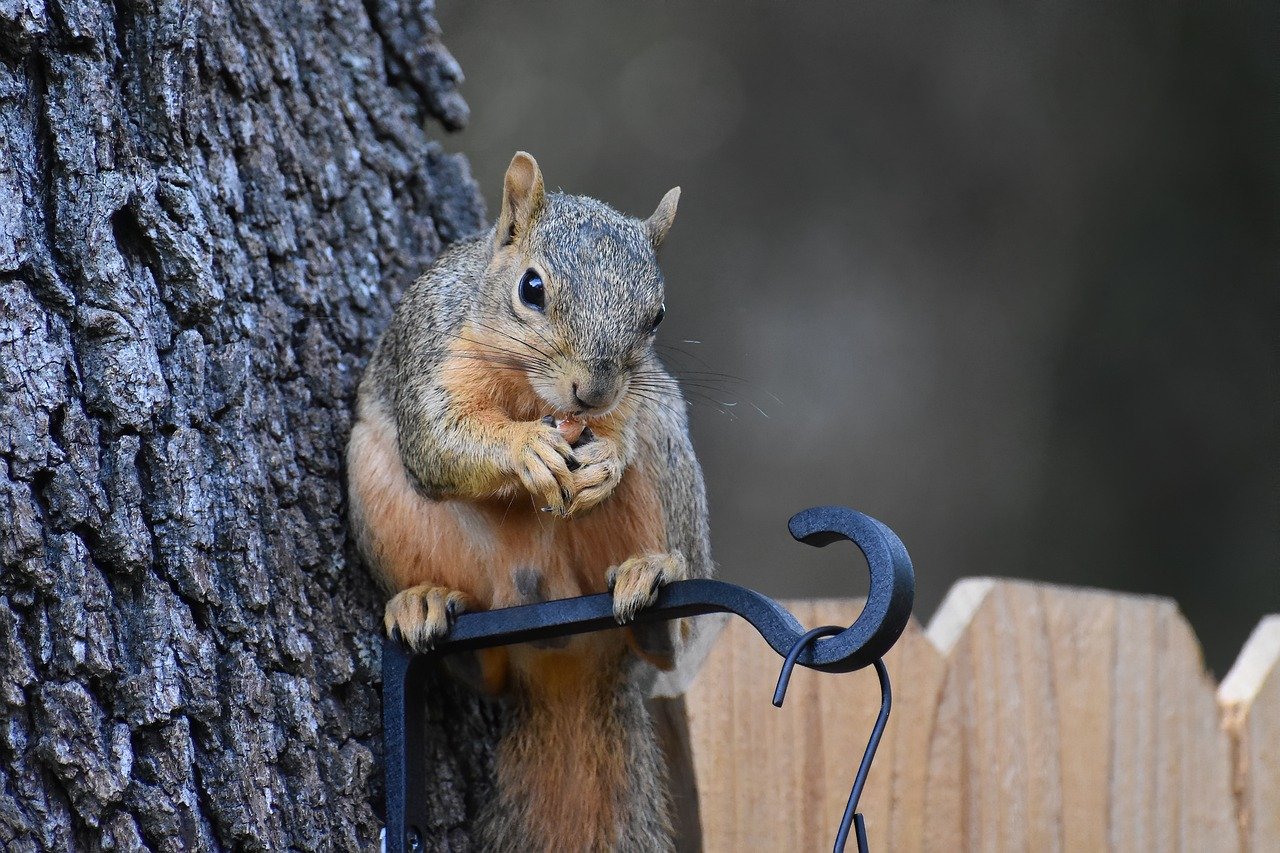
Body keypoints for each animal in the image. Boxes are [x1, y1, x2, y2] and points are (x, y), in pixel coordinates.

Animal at [345, 149, 716, 845]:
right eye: (532, 289)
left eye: (656, 316)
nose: (592, 394)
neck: (530, 394)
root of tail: (561, 654)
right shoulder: (433, 357)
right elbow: (437, 443)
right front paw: (526, 451)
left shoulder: (634, 403)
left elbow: (619, 434)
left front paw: (604, 460)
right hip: (374, 484)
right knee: (483, 672)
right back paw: (424, 601)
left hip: (664, 459)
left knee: (663, 641)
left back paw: (652, 575)